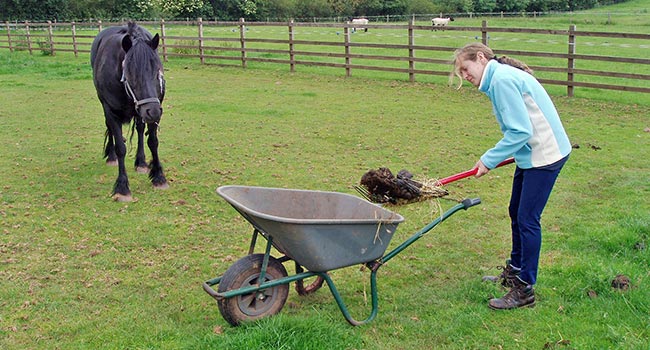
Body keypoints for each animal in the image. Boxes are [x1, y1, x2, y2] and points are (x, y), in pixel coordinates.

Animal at [90, 21, 168, 201]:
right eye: (130, 74)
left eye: (158, 70)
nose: (153, 111)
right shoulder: (110, 110)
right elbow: (121, 147)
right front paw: (122, 187)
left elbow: (153, 141)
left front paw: (158, 176)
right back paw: (111, 157)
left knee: (139, 129)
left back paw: (141, 162)